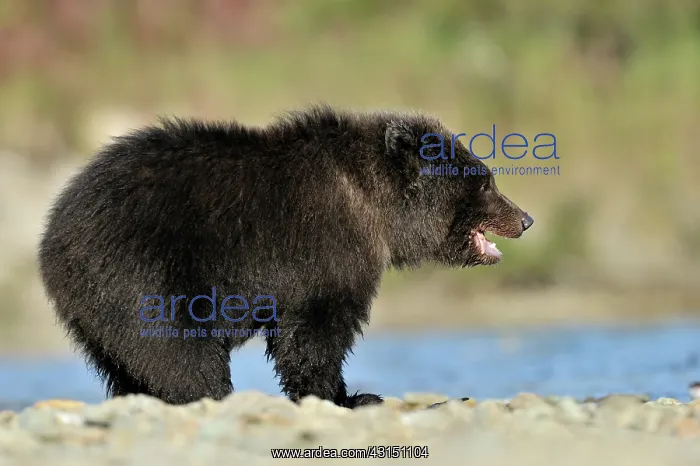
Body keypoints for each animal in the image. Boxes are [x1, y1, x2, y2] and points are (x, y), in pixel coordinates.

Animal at [38, 104, 533, 409]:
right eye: (486, 181)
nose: (526, 218)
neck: (375, 208)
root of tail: (53, 233)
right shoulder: (325, 249)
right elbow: (316, 332)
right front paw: (346, 396)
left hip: (98, 309)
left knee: (126, 364)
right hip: (144, 272)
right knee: (176, 350)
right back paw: (212, 393)